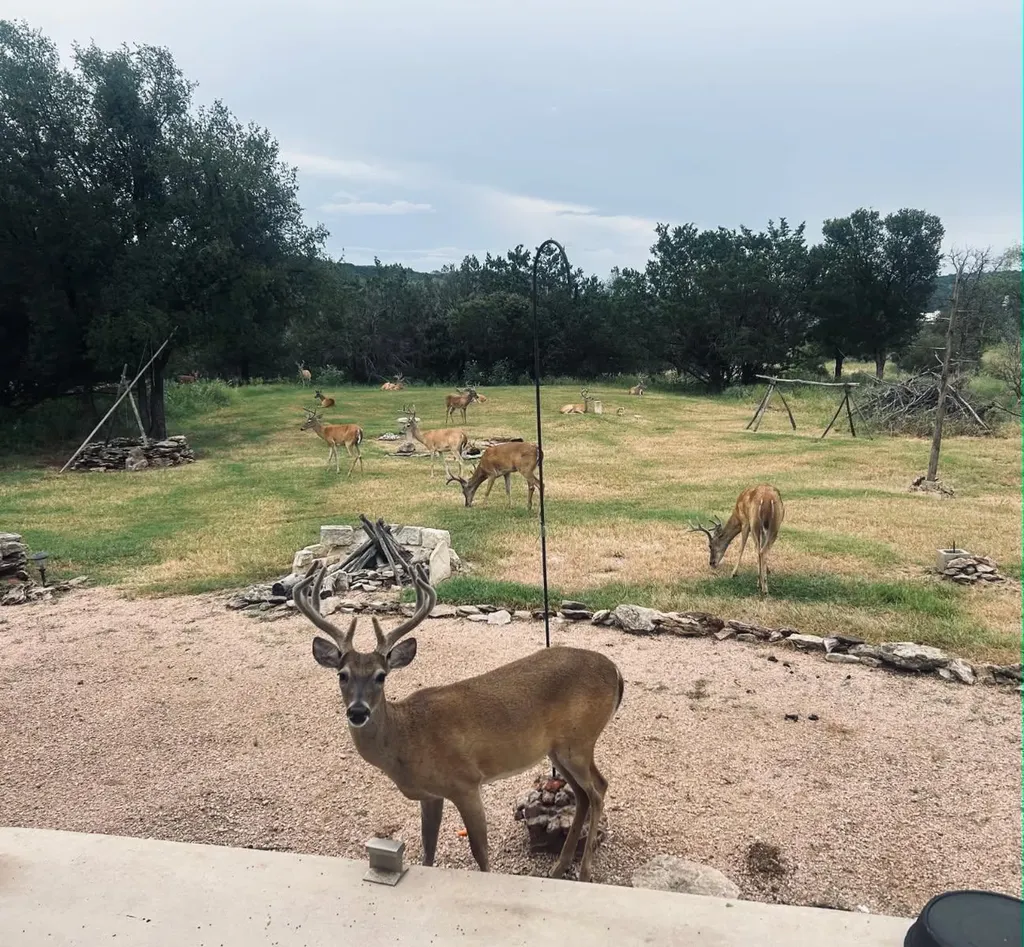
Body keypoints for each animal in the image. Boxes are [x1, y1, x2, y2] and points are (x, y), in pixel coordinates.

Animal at [297, 542, 623, 883]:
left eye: (381, 676)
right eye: (342, 675)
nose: (358, 711)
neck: (407, 739)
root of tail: (615, 671)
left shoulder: (466, 781)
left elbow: (480, 853)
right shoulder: (430, 794)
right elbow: (428, 849)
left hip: (580, 741)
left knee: (598, 789)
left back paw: (584, 872)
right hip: (557, 749)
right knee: (583, 795)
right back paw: (559, 867)